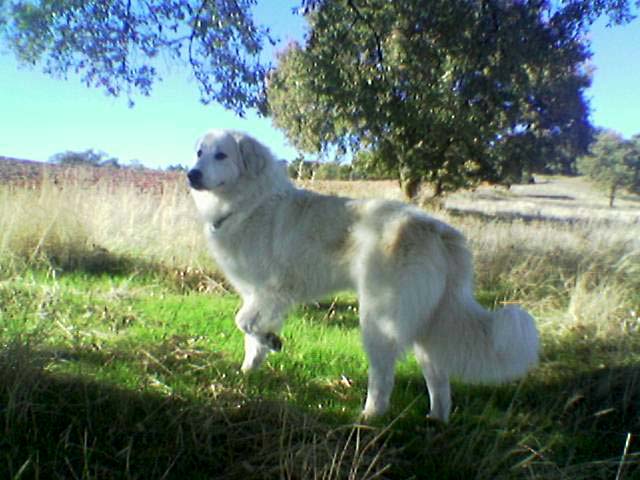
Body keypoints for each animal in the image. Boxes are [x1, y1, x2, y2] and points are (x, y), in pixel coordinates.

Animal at [188, 129, 536, 422]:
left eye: (221, 155)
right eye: (199, 153)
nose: (191, 174)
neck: (250, 203)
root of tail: (436, 229)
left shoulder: (272, 291)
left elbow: (244, 323)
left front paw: (271, 342)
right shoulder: (256, 295)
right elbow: (250, 335)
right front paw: (249, 370)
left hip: (379, 320)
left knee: (383, 376)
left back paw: (368, 418)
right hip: (426, 324)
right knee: (438, 378)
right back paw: (435, 421)